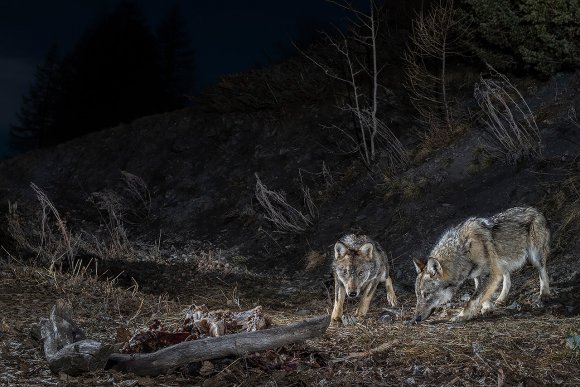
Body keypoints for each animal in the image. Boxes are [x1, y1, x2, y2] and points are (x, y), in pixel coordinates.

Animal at [410, 208, 552, 322]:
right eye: (417, 296)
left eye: (427, 294)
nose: (415, 319)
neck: (463, 252)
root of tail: (536, 210)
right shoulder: (479, 275)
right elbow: (481, 295)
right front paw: (487, 307)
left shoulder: (490, 274)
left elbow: (473, 299)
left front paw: (462, 316)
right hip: (501, 264)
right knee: (507, 279)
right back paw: (501, 299)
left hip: (535, 257)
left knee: (543, 272)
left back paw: (544, 295)